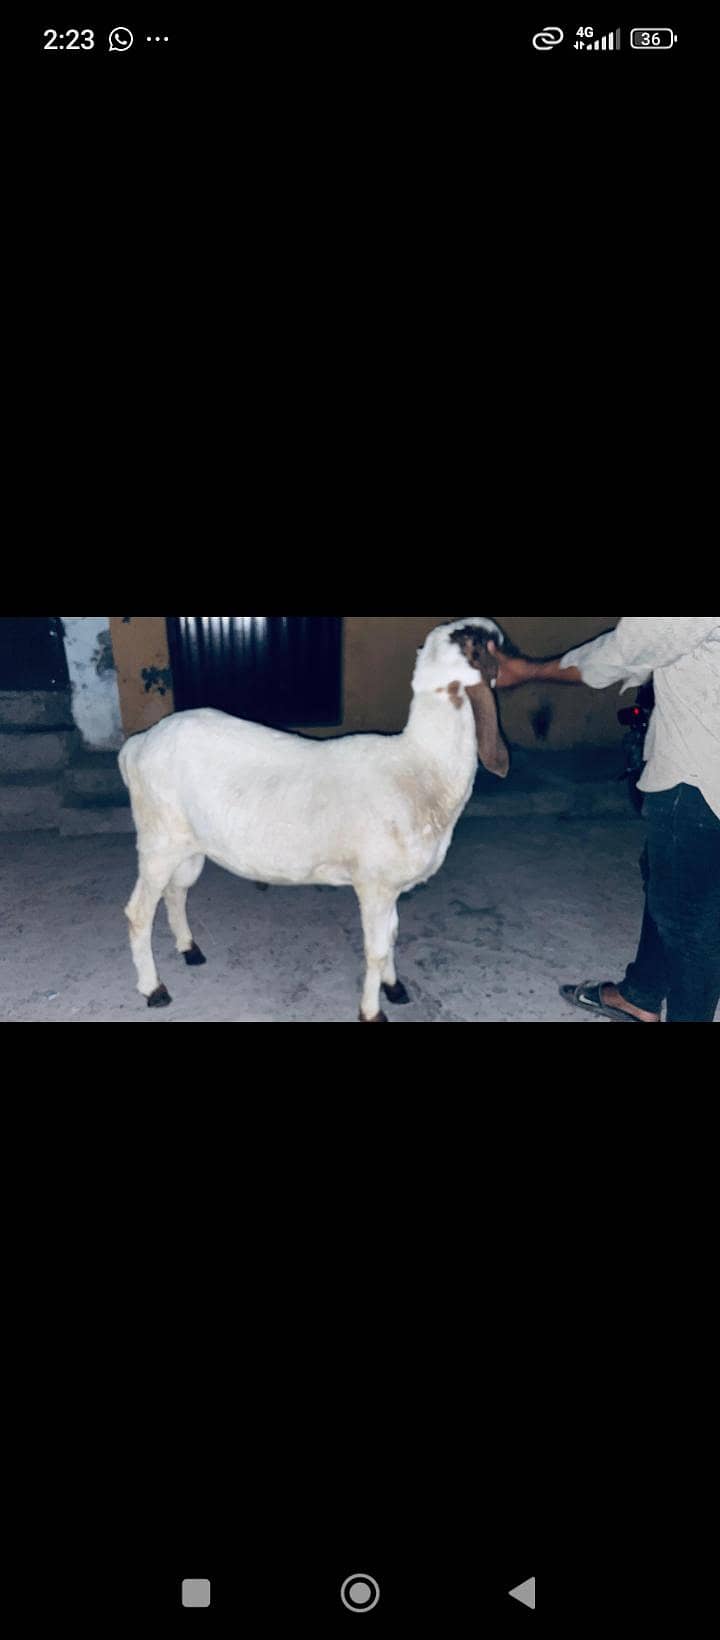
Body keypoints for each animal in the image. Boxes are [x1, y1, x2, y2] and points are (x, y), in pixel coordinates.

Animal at [118, 617, 510, 1021]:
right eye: (484, 646)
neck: (421, 765)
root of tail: (137, 745)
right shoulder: (374, 884)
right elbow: (376, 949)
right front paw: (372, 1011)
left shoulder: (391, 886)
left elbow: (392, 936)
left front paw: (394, 987)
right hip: (157, 841)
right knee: (138, 912)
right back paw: (153, 989)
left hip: (189, 846)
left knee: (176, 892)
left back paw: (189, 950)